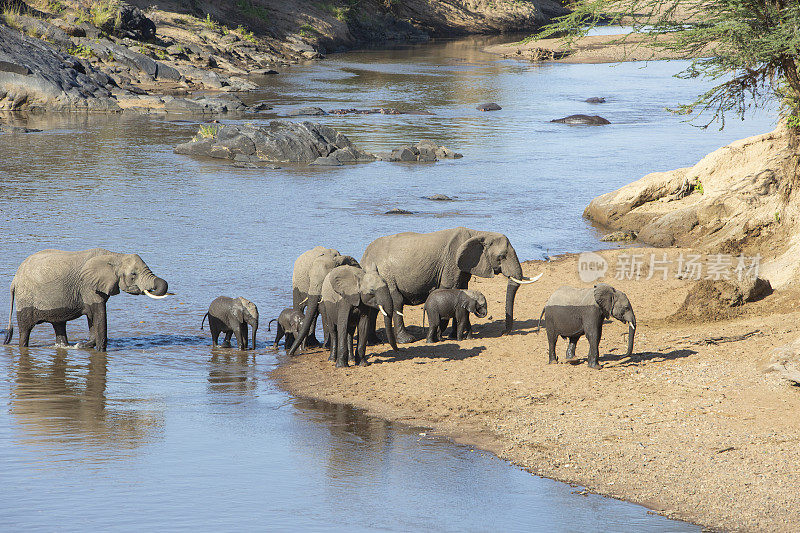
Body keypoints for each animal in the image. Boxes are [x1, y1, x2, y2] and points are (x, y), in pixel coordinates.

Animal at [2, 248, 169, 352]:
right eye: (133, 274)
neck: (114, 255)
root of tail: (14, 280)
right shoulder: (88, 286)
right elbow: (99, 315)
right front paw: (94, 348)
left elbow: (92, 317)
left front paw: (83, 345)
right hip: (25, 298)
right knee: (25, 329)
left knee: (59, 324)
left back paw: (64, 346)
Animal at [362, 225, 544, 342]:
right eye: (501, 257)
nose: (503, 332)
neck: (478, 233)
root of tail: (366, 255)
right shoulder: (451, 262)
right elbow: (450, 289)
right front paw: (445, 336)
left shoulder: (463, 267)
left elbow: (462, 290)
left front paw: (454, 336)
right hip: (386, 273)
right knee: (396, 301)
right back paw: (407, 340)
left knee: (375, 307)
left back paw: (375, 341)